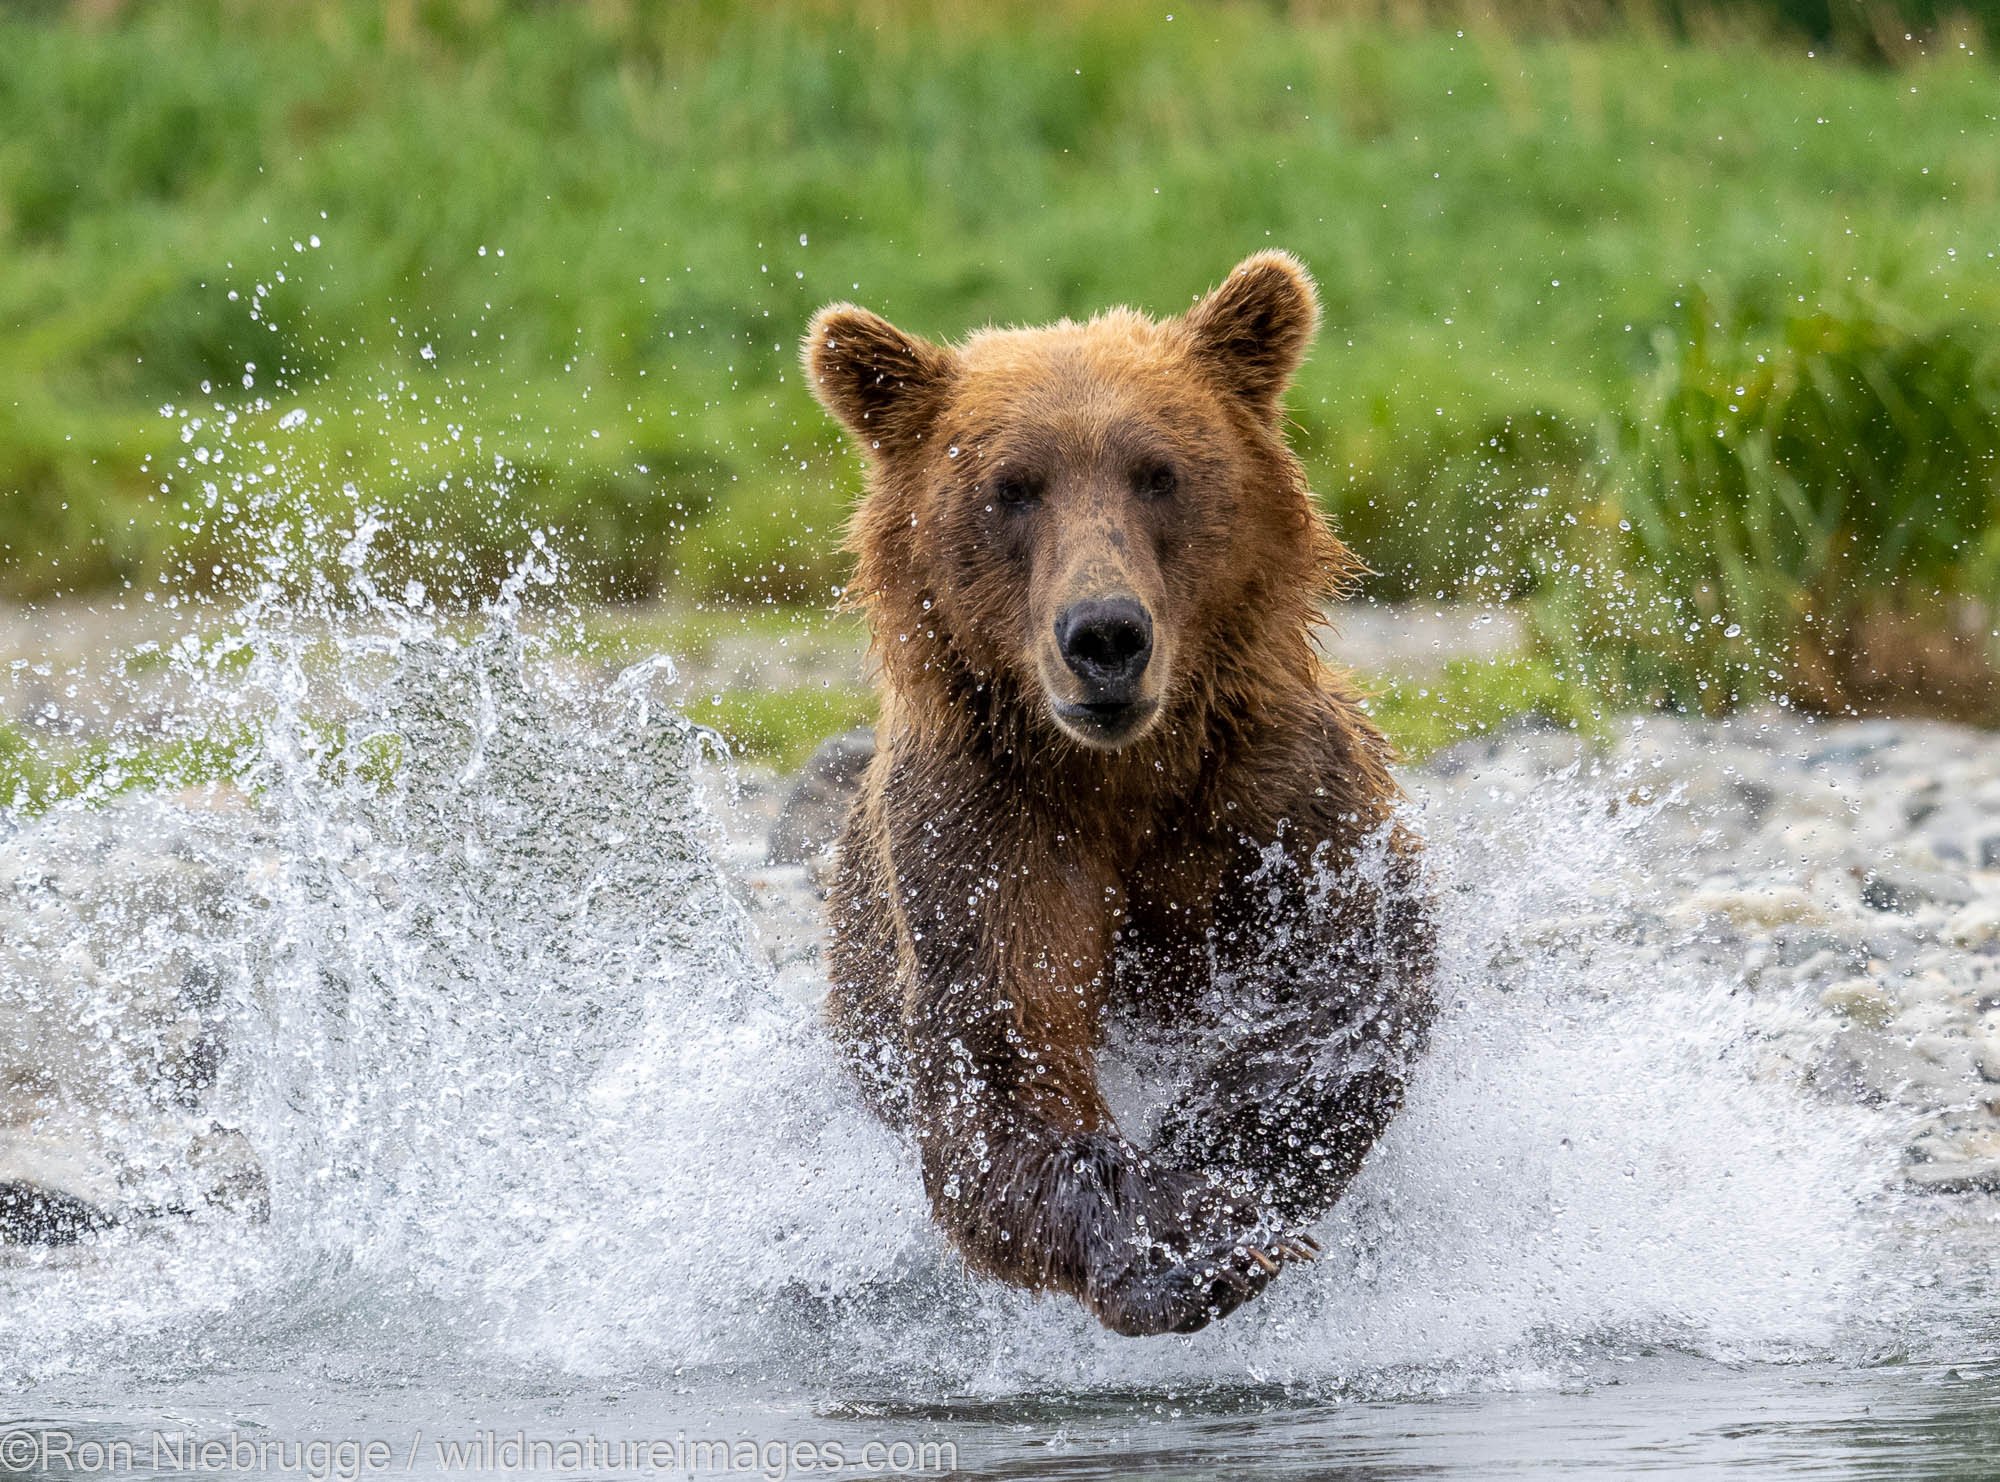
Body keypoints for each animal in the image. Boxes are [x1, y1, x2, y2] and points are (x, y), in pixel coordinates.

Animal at [800, 254, 1440, 1344]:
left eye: (1157, 471)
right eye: (1011, 488)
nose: (1103, 635)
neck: (1124, 775)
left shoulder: (1275, 794)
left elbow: (1349, 983)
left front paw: (1216, 1182)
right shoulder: (989, 831)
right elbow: (1002, 1056)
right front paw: (1178, 1248)